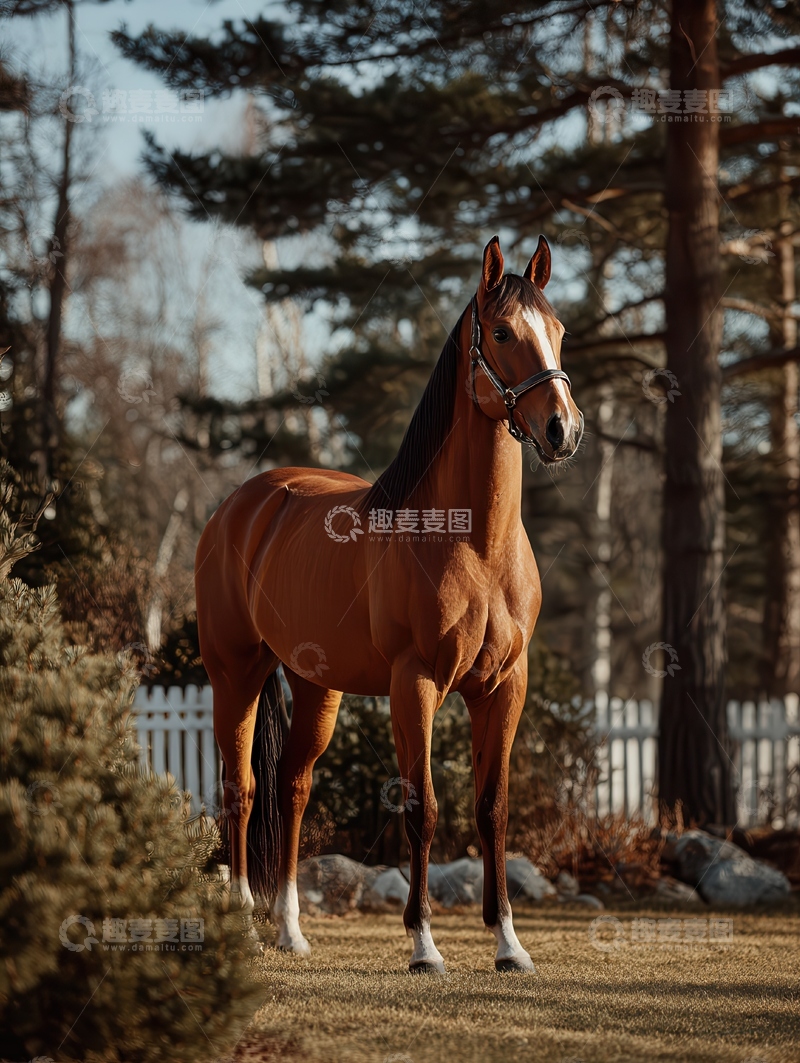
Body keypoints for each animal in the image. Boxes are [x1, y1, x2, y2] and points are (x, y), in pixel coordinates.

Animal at [195, 235, 583, 973]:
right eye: (501, 332)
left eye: (558, 331)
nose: (562, 430)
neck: (473, 542)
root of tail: (242, 505)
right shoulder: (417, 682)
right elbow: (422, 807)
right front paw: (424, 945)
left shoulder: (505, 686)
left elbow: (492, 809)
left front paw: (509, 944)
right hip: (235, 672)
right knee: (242, 789)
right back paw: (241, 924)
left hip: (316, 686)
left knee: (291, 787)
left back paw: (290, 930)